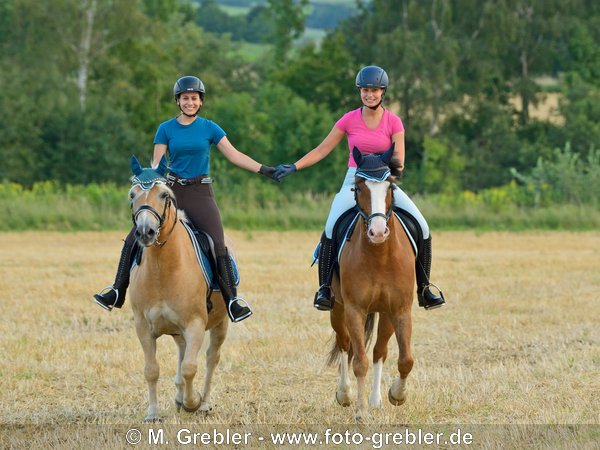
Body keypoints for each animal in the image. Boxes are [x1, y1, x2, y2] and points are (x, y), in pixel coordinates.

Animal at [127, 156, 229, 424]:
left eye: (164, 195)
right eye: (132, 195)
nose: (145, 231)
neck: (163, 268)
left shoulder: (195, 324)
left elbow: (190, 368)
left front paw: (192, 403)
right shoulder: (143, 326)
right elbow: (151, 370)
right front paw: (153, 413)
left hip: (221, 323)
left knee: (211, 359)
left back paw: (203, 404)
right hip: (177, 330)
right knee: (182, 353)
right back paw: (179, 397)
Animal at [326, 148, 414, 422]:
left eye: (390, 186)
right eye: (358, 187)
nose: (377, 232)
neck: (380, 256)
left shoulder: (400, 310)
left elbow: (405, 359)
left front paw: (397, 395)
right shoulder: (354, 309)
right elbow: (359, 362)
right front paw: (361, 412)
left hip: (384, 314)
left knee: (379, 351)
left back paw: (376, 399)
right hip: (337, 309)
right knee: (345, 345)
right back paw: (345, 394)